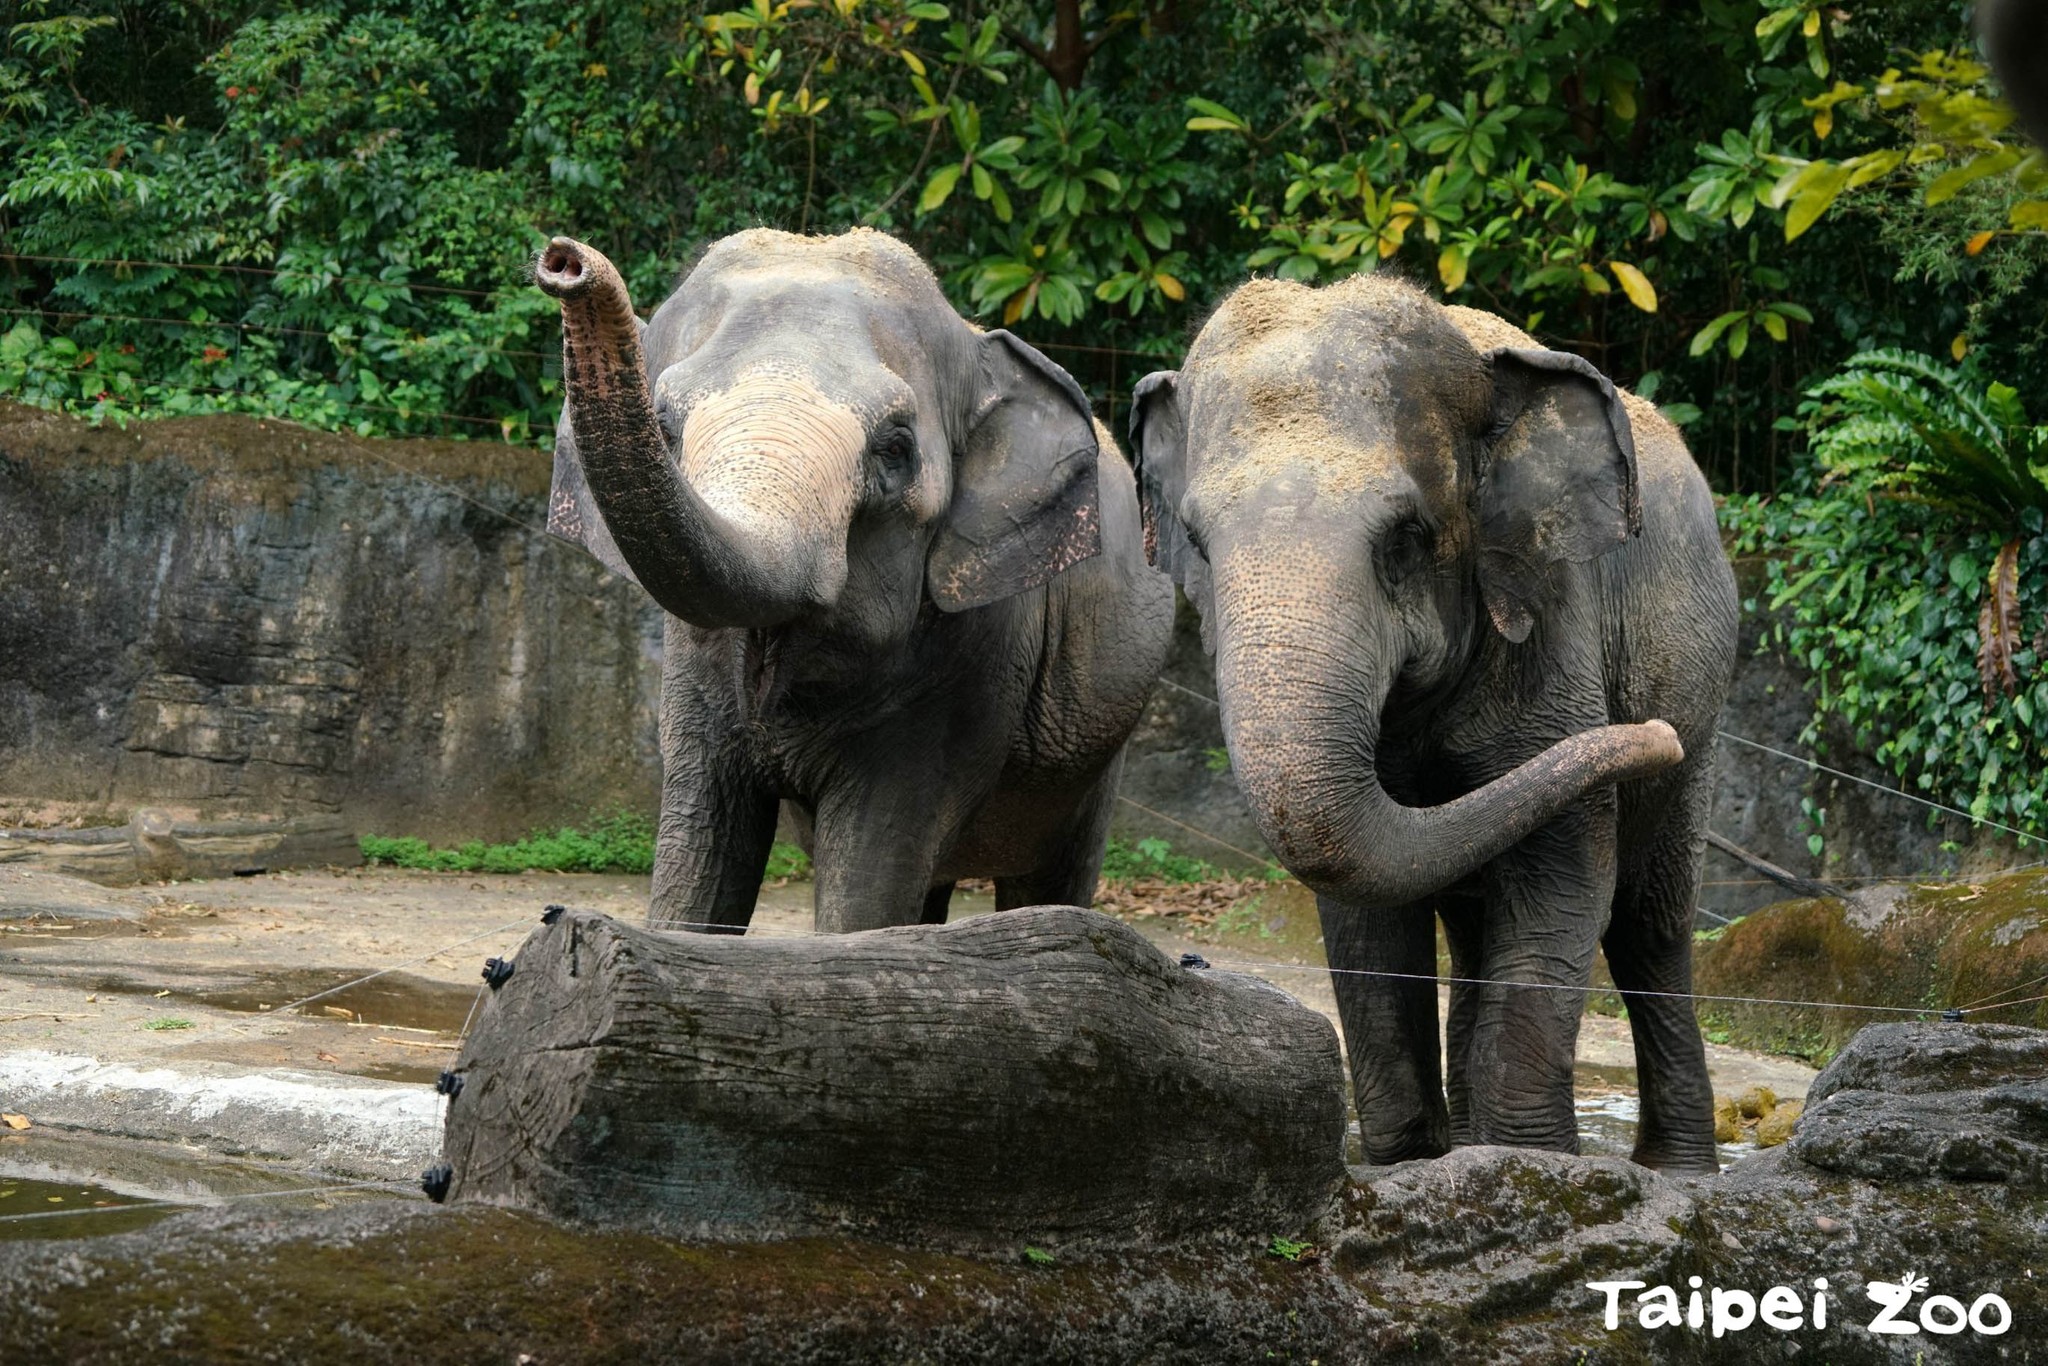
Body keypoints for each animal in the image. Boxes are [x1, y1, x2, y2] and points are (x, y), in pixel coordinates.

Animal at [536, 228, 1175, 934]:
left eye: (894, 449)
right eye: (664, 426)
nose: (564, 261)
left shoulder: (970, 658)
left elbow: (870, 870)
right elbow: (703, 851)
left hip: (1098, 744)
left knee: (1049, 875)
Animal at [1128, 275, 1738, 1173]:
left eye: (1405, 539)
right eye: (1198, 544)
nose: (1652, 736)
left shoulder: (1551, 622)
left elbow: (1564, 880)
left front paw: (1530, 1168)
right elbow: (1366, 918)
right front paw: (1419, 1165)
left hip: (1703, 698)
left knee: (1648, 926)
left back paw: (1679, 1171)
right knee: (1481, 926)